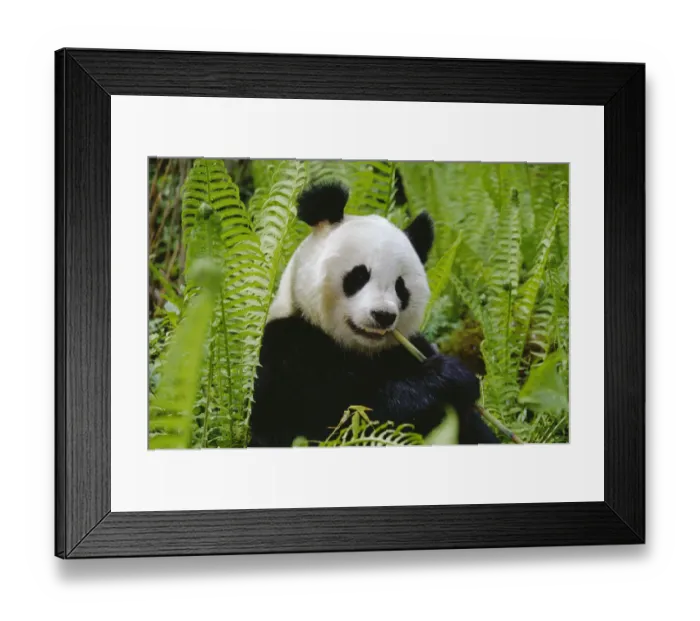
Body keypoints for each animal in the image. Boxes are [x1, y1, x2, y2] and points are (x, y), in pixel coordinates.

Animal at [249, 181, 500, 447]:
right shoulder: (287, 350)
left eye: (400, 286)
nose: (383, 315)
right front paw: (447, 378)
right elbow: (332, 421)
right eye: (359, 276)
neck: (359, 350)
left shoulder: (406, 349)